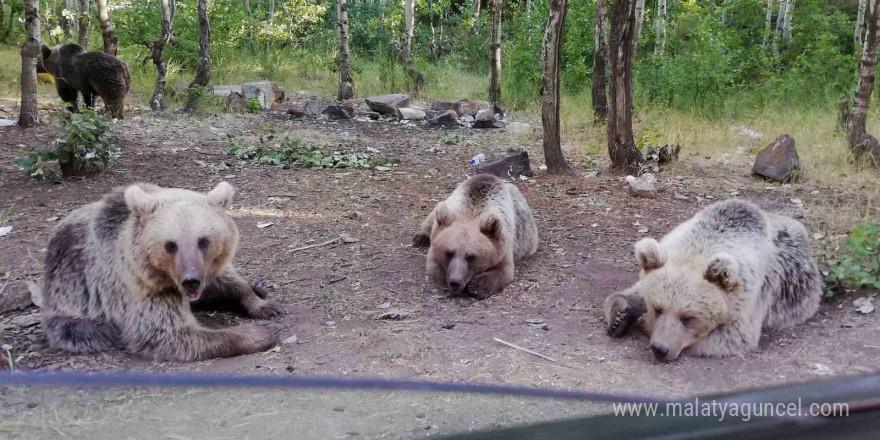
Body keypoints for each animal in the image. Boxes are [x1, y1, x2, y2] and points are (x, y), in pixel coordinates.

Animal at [41, 181, 284, 360]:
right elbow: (168, 333)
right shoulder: (140, 287)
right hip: (69, 301)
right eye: (170, 245)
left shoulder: (206, 271)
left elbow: (228, 281)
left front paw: (264, 303)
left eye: (203, 241)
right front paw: (260, 333)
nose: (191, 280)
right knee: (84, 329)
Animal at [608, 199, 820, 360]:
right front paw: (620, 315)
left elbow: (732, 337)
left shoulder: (751, 299)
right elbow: (632, 292)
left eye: (688, 317)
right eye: (658, 307)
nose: (660, 348)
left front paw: (643, 322)